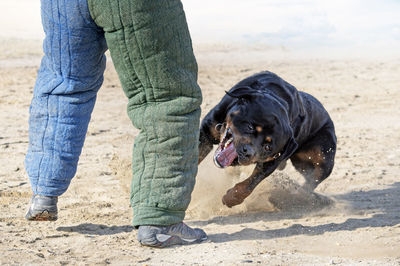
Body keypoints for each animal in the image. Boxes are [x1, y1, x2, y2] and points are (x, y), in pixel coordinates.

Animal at [198, 70, 336, 208]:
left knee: (313, 179)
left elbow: (251, 183)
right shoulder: (205, 133)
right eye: (250, 126)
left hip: (323, 156)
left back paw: (295, 196)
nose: (247, 152)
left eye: (267, 147)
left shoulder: (273, 160)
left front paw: (231, 198)